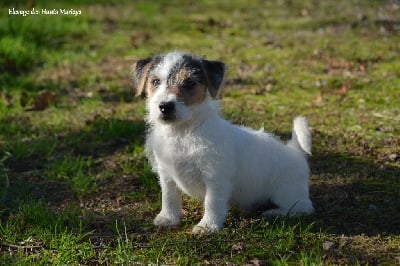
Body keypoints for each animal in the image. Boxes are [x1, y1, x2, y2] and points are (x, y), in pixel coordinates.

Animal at [133, 51, 314, 234]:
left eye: (189, 83)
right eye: (155, 82)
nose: (165, 106)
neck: (182, 132)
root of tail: (294, 149)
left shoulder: (215, 177)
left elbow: (212, 203)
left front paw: (207, 226)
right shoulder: (166, 174)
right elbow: (169, 197)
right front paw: (168, 218)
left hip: (286, 192)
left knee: (303, 207)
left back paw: (275, 213)